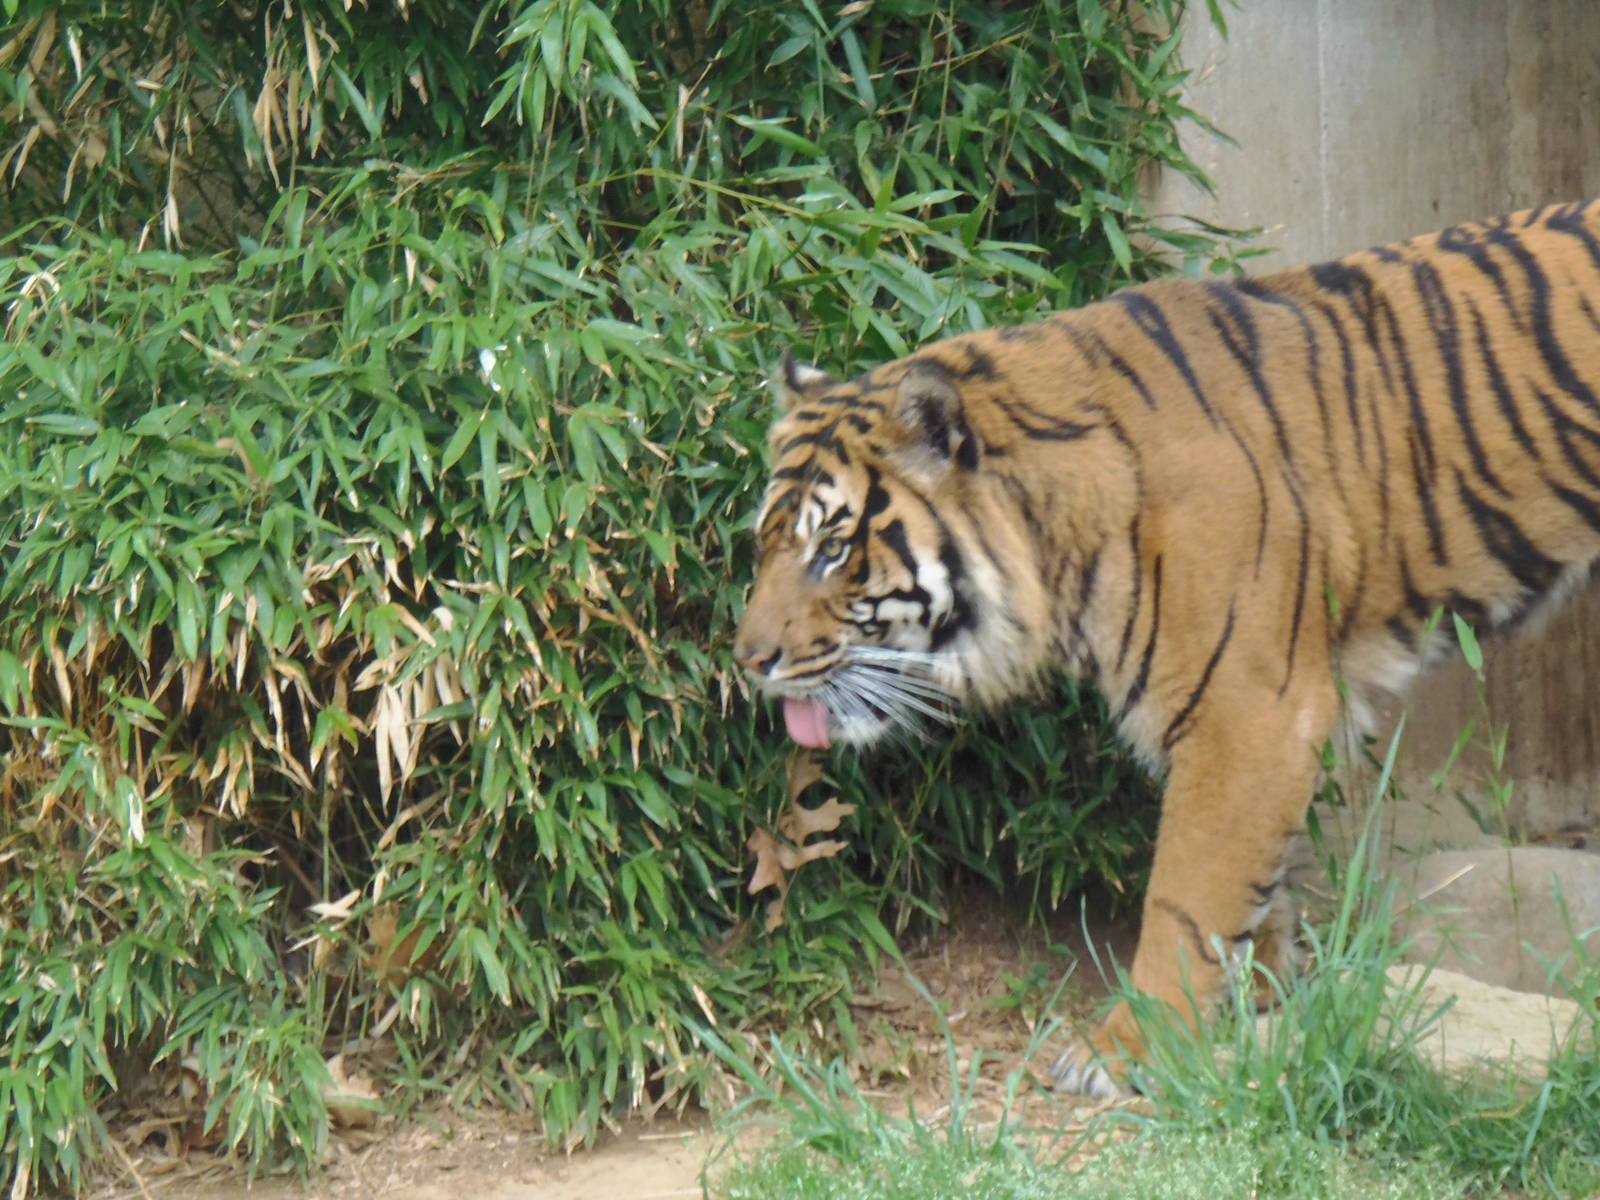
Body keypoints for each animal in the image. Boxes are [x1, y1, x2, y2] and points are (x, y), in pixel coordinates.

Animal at [732, 199, 1600, 1098]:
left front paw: (1127, 1046)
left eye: (832, 550)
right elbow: (1258, 882)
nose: (746, 661)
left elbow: (1185, 895)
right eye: (766, 543)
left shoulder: (1248, 713)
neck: (1058, 534)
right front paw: (1264, 990)